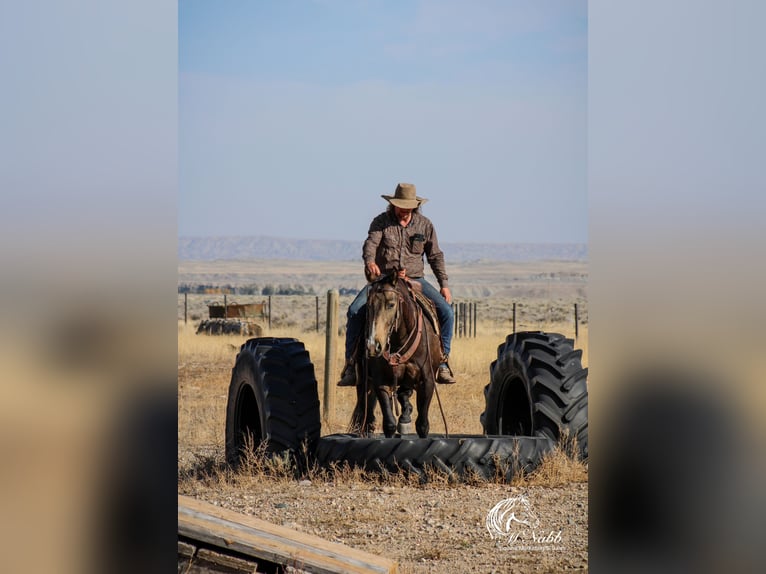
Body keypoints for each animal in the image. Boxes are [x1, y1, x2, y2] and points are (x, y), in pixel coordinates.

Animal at [350, 274, 440, 440]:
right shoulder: (380, 381)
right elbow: (389, 425)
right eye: (369, 306)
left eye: (391, 304)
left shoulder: (427, 380)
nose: (373, 346)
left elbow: (422, 426)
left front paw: (407, 420)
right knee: (366, 412)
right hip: (364, 381)